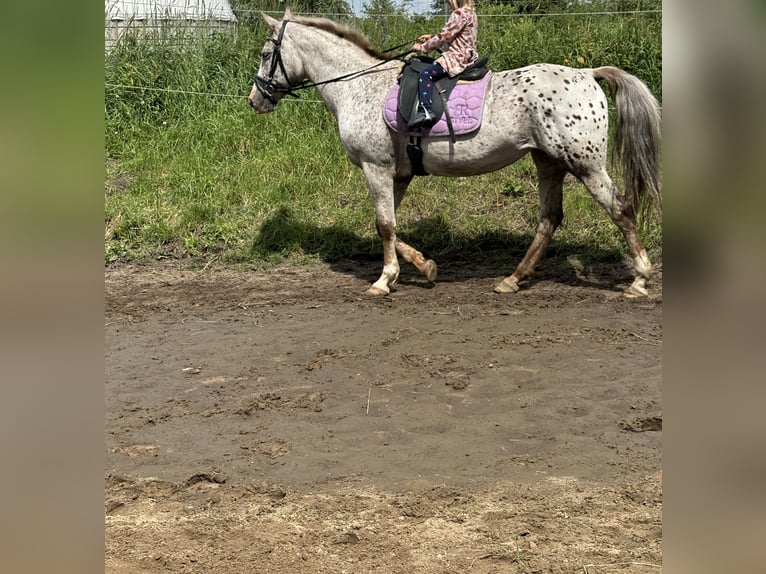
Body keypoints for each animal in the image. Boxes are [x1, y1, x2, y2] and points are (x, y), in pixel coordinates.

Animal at [249, 7, 664, 296]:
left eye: (268, 53)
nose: (256, 99)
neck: (360, 86)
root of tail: (589, 74)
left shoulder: (376, 167)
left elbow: (384, 226)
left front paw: (384, 280)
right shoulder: (398, 173)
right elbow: (389, 225)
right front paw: (425, 267)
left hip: (585, 164)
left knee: (621, 210)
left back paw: (640, 281)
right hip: (549, 162)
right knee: (549, 219)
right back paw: (513, 279)